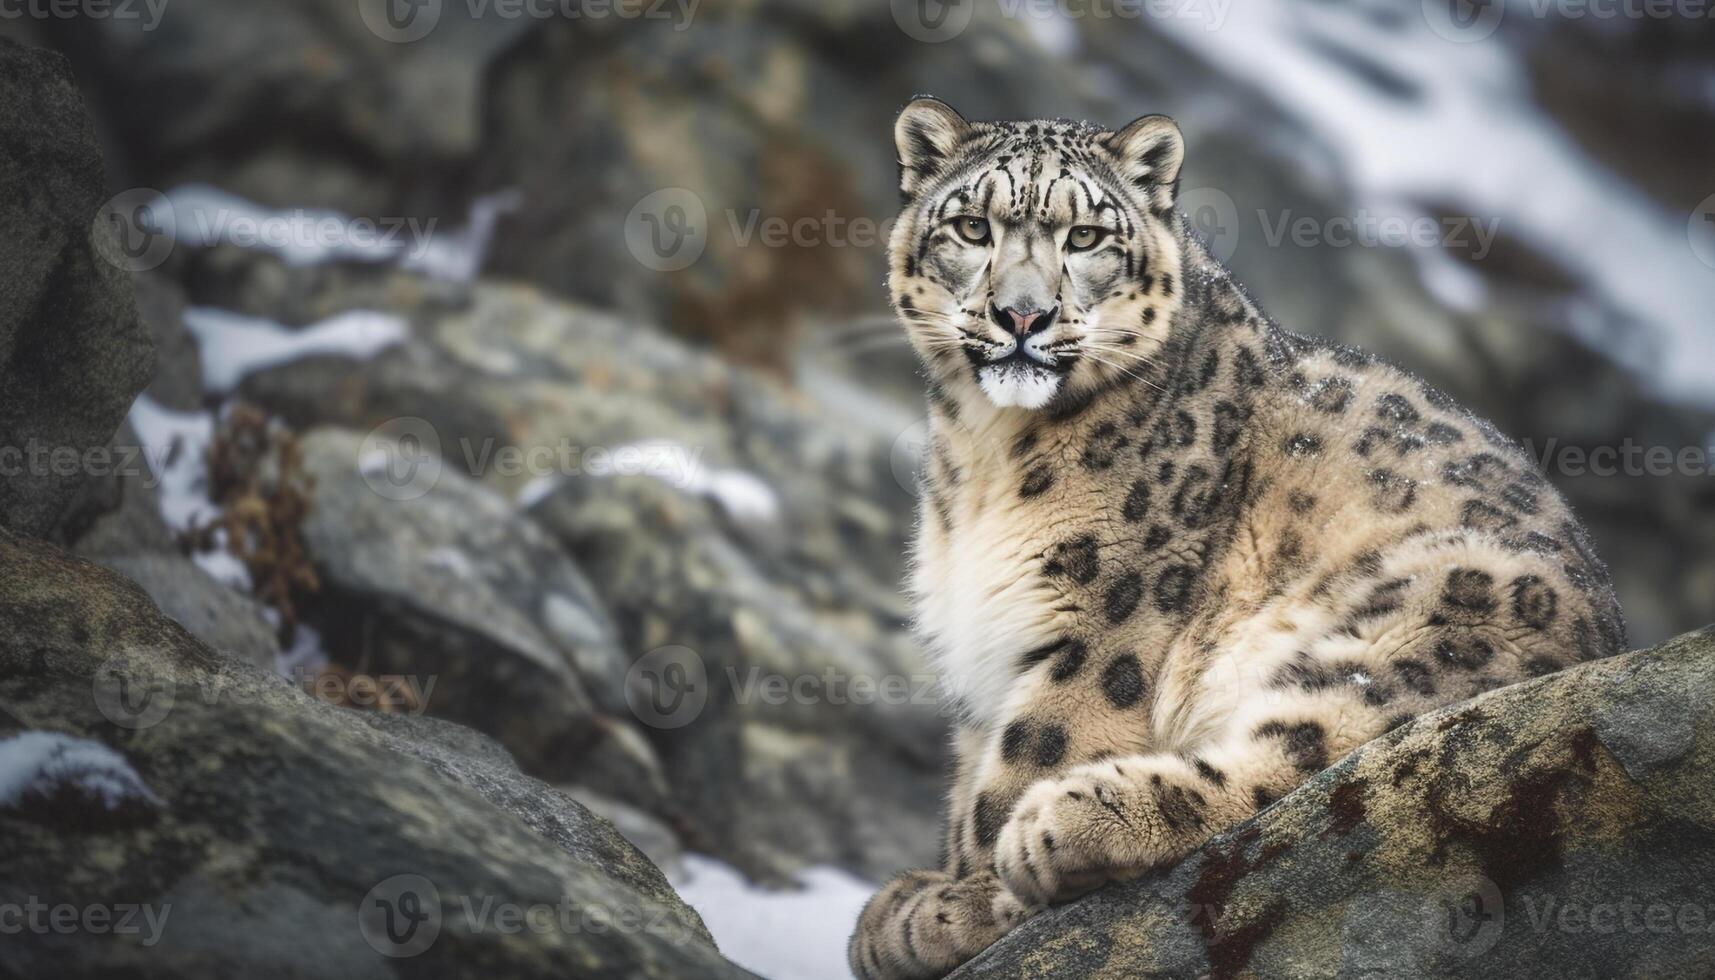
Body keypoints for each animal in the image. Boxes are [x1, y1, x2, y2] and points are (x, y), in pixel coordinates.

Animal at [850, 101, 1625, 980]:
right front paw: (929, 893)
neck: (983, 451)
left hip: (1432, 612)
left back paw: (1060, 827)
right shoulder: (984, 643)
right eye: (972, 226)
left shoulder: (1101, 618)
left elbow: (1028, 755)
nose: (1022, 316)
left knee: (1304, 771)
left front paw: (959, 905)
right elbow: (966, 789)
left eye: (1084, 237)